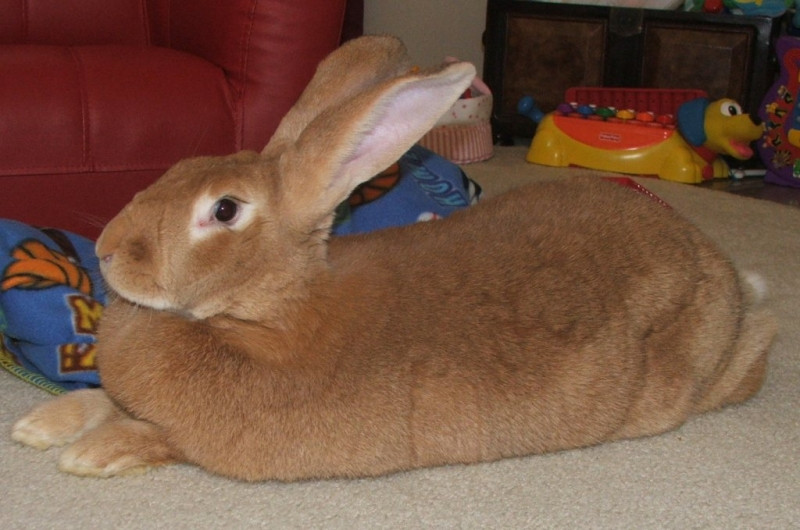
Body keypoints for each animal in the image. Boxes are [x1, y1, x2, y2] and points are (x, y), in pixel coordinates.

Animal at [10, 34, 776, 478]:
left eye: (223, 211)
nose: (109, 251)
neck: (271, 313)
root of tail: (715, 264)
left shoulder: (214, 444)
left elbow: (154, 435)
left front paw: (89, 454)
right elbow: (101, 397)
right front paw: (38, 426)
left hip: (693, 375)